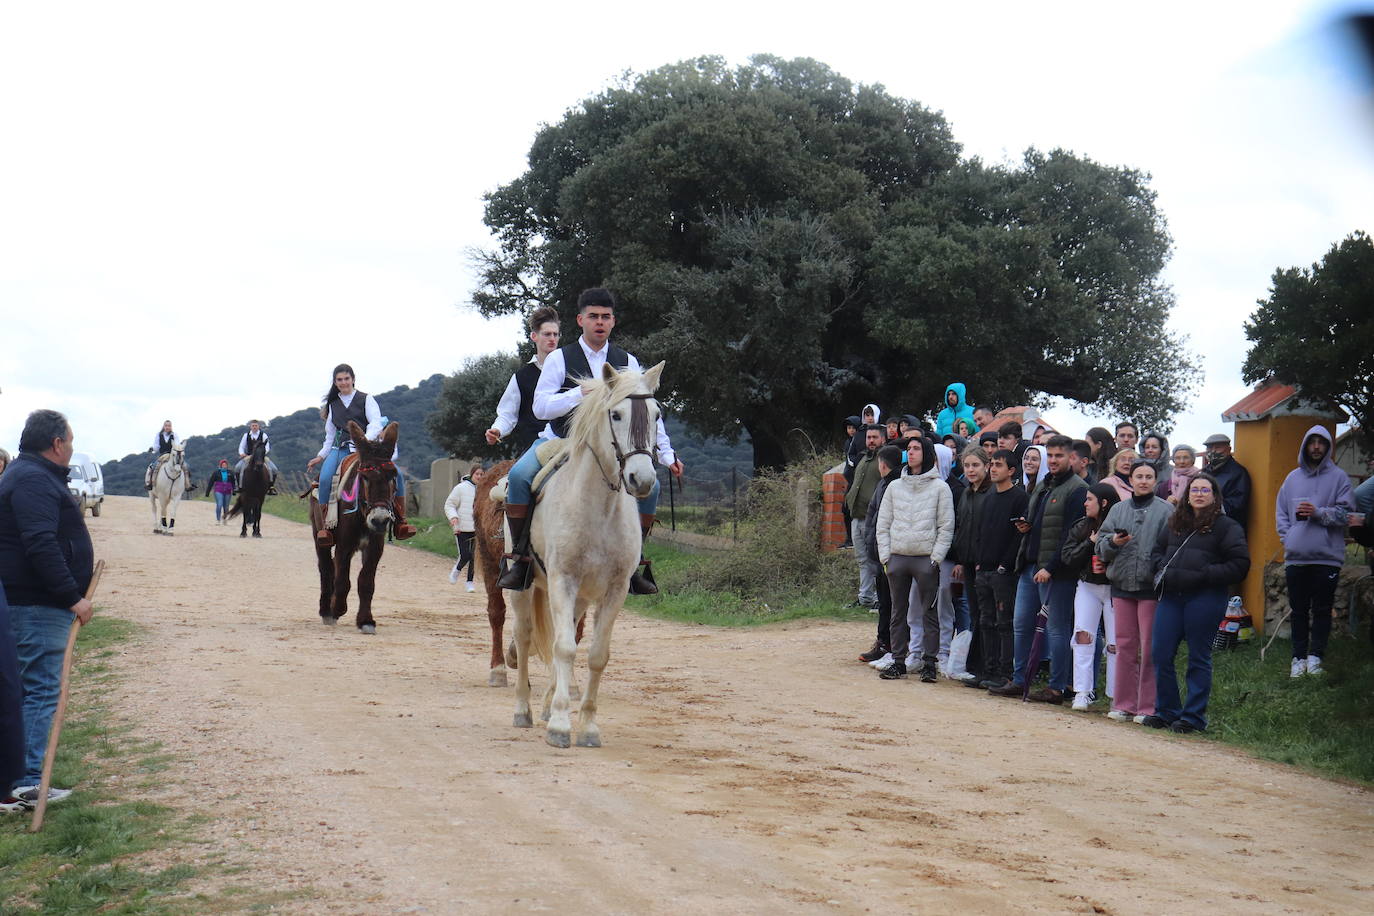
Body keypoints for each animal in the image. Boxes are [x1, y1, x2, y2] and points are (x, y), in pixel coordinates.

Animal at [309, 420, 401, 631]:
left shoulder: (375, 546)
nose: (380, 520)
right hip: (319, 536)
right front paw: (337, 609)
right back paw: (326, 610)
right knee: (326, 568)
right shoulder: (344, 545)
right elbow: (343, 580)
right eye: (364, 477)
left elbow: (366, 582)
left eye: (393, 475)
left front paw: (366, 620)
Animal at [502, 362, 662, 747]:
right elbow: (563, 649)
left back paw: (546, 705)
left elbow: (595, 655)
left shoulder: (614, 591)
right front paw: (561, 726)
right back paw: (524, 710)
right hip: (525, 589)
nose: (642, 479)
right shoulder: (563, 581)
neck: (600, 509)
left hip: (581, 599)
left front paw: (587, 726)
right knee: (525, 638)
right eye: (616, 414)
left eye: (657, 415)